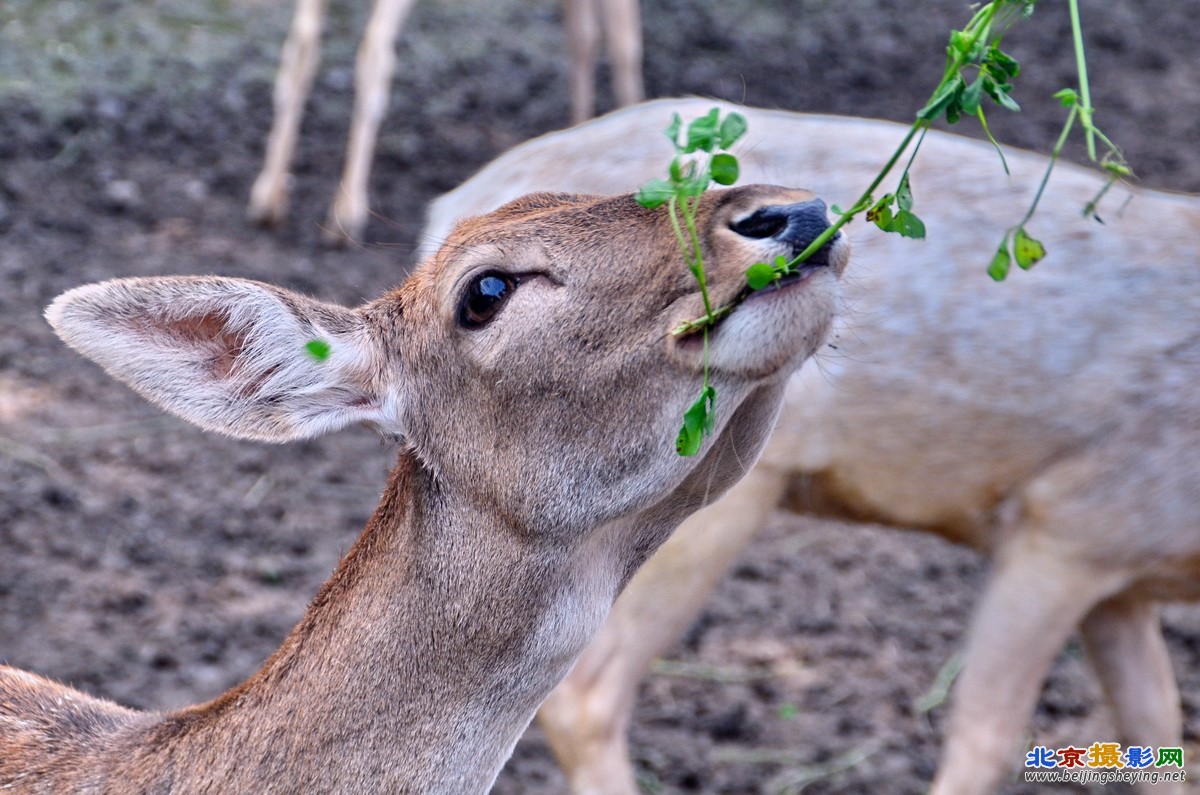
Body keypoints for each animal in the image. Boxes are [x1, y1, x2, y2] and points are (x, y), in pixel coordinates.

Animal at [248, 0, 643, 241]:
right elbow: (619, 40)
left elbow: (584, 35)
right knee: (373, 50)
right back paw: (346, 215)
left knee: (301, 42)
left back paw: (269, 197)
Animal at [420, 99, 1200, 795]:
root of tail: (445, 213)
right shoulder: (1064, 523)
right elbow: (987, 734)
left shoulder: (1118, 574)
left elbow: (1158, 728)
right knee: (586, 691)